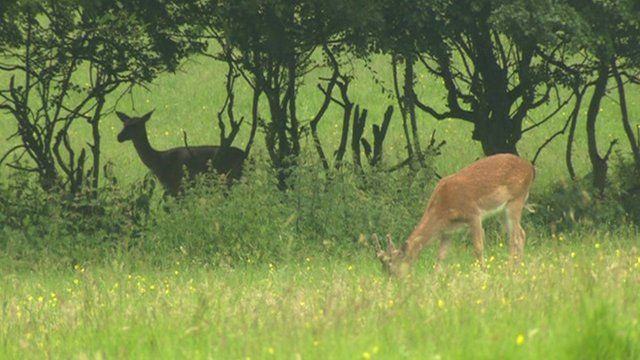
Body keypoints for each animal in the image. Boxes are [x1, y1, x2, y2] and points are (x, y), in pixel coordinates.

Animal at [115, 111, 245, 195]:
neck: (158, 161)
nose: (119, 136)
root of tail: (246, 155)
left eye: (135, 125)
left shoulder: (176, 185)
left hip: (230, 177)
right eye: (124, 124)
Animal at [376, 153, 536, 276]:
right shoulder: (448, 231)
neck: (443, 209)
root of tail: (530, 167)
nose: (393, 285)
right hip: (502, 210)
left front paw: (484, 274)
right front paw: (434, 280)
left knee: (515, 238)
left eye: (392, 269)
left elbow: (478, 248)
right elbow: (441, 255)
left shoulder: (473, 214)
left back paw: (510, 270)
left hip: (516, 199)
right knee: (521, 233)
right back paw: (518, 268)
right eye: (384, 270)